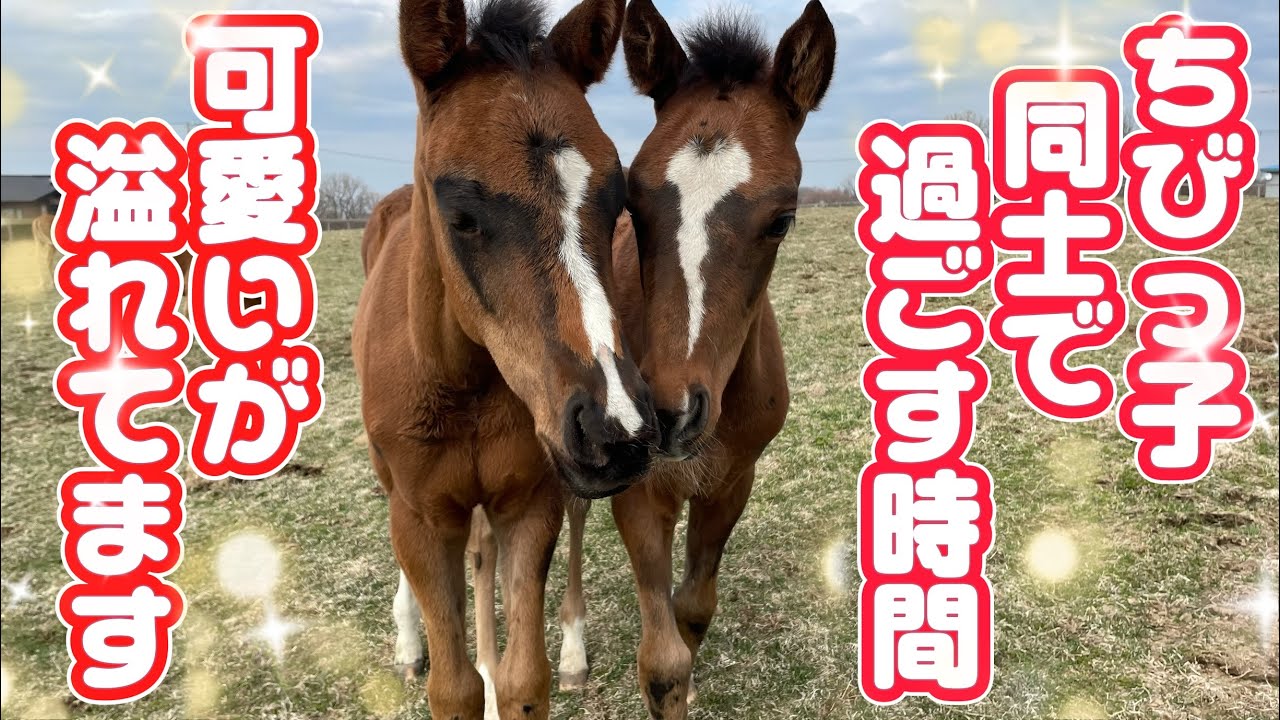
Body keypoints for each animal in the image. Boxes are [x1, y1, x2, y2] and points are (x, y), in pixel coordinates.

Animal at [353, 1, 656, 718]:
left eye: (617, 198)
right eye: (461, 214)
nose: (618, 429)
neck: (463, 384)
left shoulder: (531, 499)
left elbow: (525, 679)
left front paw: (510, 677)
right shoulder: (422, 517)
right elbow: (451, 686)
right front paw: (448, 663)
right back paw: (409, 641)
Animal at [548, 2, 838, 717]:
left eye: (783, 218)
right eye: (634, 200)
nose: (669, 413)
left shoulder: (732, 480)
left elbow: (694, 609)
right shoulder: (636, 487)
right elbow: (661, 662)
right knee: (571, 511)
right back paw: (569, 652)